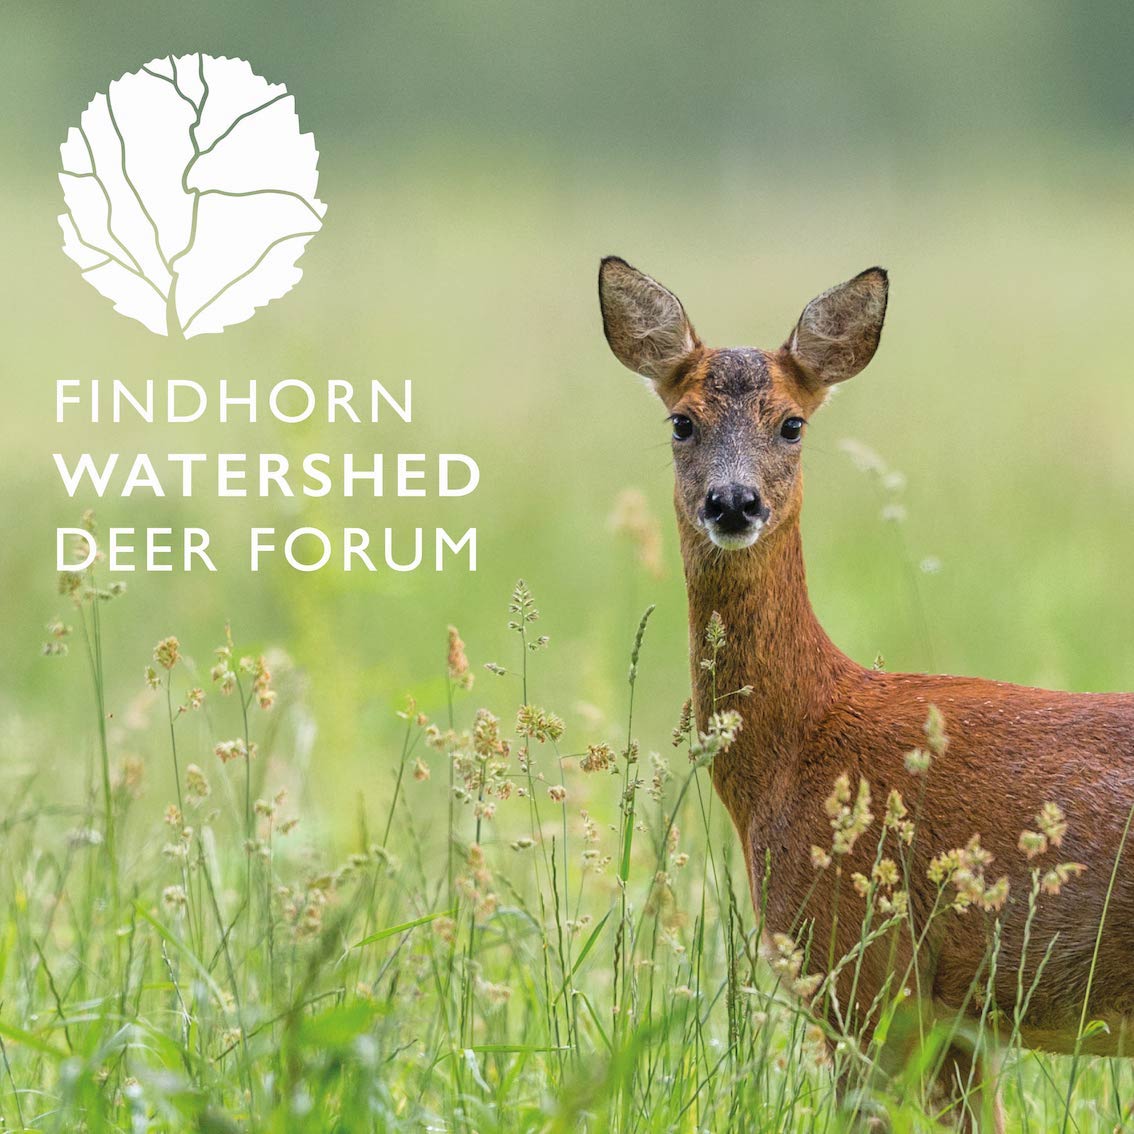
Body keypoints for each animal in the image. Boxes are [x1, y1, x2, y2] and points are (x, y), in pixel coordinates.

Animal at [597, 256, 1134, 1131]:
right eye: (681, 422)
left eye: (792, 424)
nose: (734, 502)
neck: (802, 737)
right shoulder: (956, 1015)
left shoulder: (863, 963)